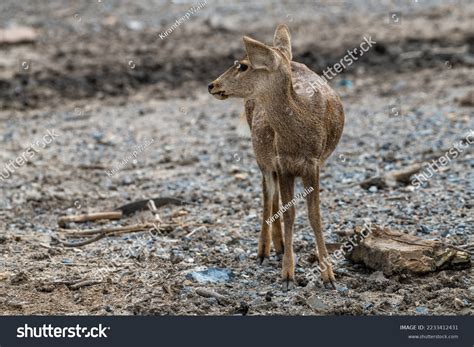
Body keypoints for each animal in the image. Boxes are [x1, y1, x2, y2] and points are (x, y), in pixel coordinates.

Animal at [208, 25, 344, 290]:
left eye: (243, 65)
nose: (212, 84)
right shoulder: (283, 163)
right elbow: (289, 213)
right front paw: (288, 274)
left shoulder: (313, 164)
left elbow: (314, 216)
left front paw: (329, 276)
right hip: (261, 155)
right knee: (267, 193)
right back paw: (264, 250)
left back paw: (279, 245)